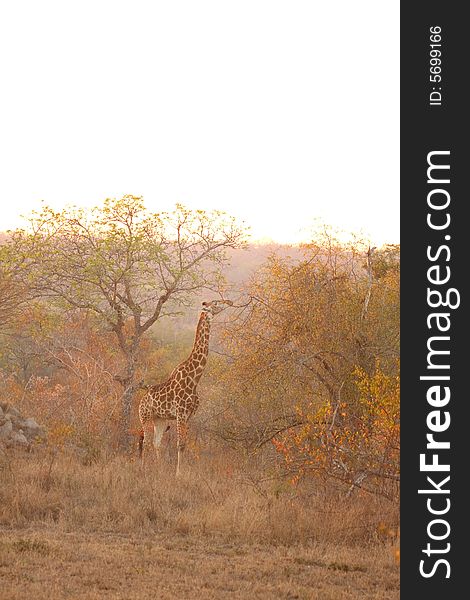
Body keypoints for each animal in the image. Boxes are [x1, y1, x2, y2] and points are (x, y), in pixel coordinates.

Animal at [138, 298, 231, 474]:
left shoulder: (188, 415)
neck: (194, 379)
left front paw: (184, 472)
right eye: (215, 303)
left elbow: (184, 444)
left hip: (160, 419)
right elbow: (180, 444)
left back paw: (159, 470)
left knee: (156, 442)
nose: (229, 302)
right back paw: (143, 469)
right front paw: (179, 474)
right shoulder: (181, 413)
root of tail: (142, 398)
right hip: (144, 416)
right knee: (145, 441)